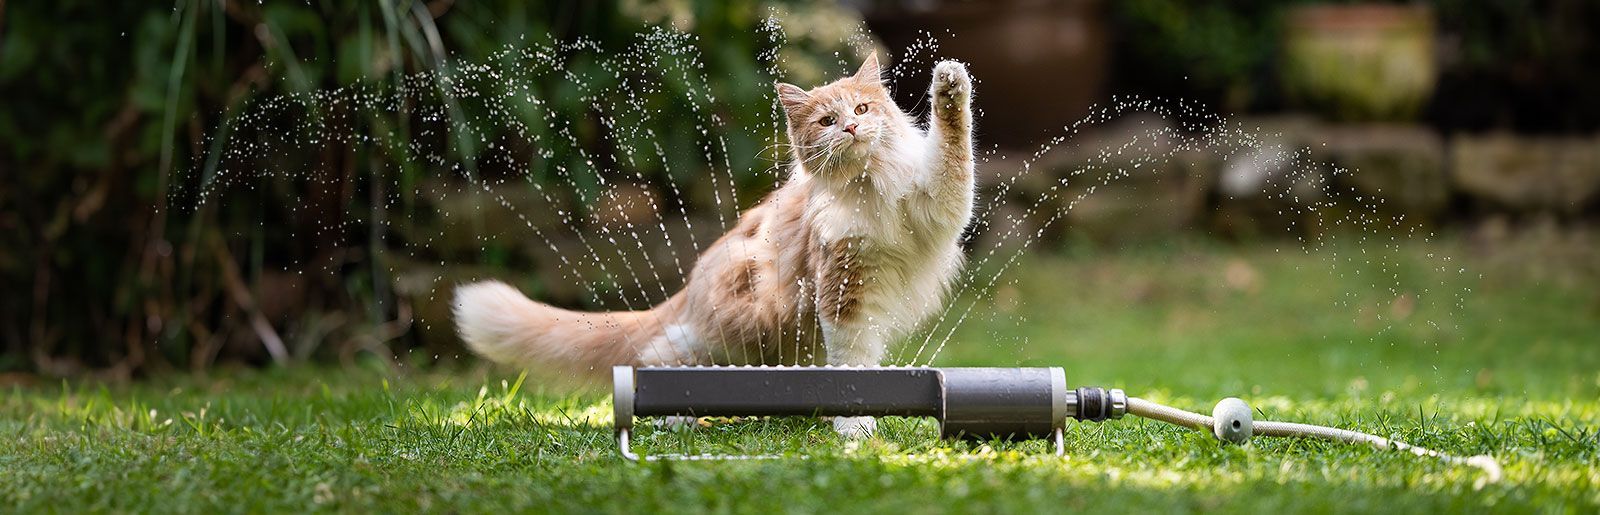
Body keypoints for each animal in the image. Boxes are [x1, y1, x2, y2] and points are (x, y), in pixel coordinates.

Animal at [454, 54, 972, 435]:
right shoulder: (843, 291)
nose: (850, 129)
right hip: (740, 329)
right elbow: (852, 365)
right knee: (657, 355)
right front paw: (855, 427)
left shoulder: (938, 204)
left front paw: (949, 87)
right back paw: (670, 417)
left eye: (862, 110)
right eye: (828, 120)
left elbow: (955, 150)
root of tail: (691, 286)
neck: (869, 186)